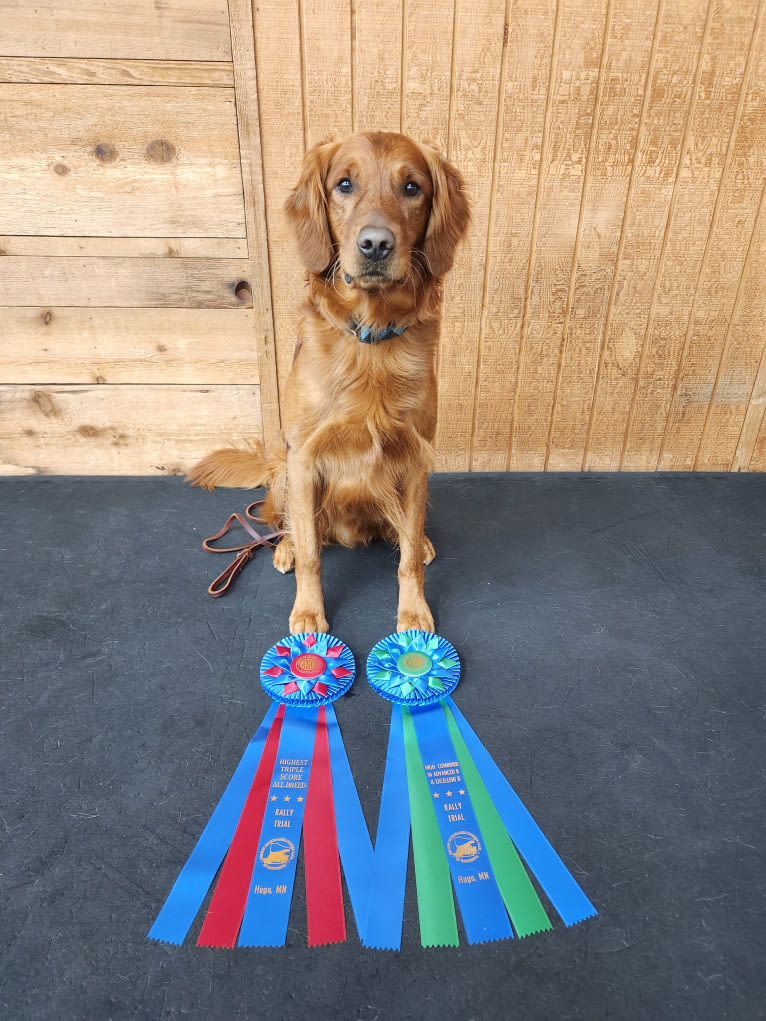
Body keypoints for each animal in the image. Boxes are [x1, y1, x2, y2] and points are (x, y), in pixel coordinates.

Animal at [188, 131, 471, 633]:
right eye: (344, 184)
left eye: (412, 188)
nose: (375, 244)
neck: (371, 340)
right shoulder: (303, 459)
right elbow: (311, 556)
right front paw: (307, 611)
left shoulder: (416, 458)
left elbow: (407, 558)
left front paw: (413, 611)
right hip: (283, 472)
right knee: (287, 526)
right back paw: (283, 547)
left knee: (405, 532)